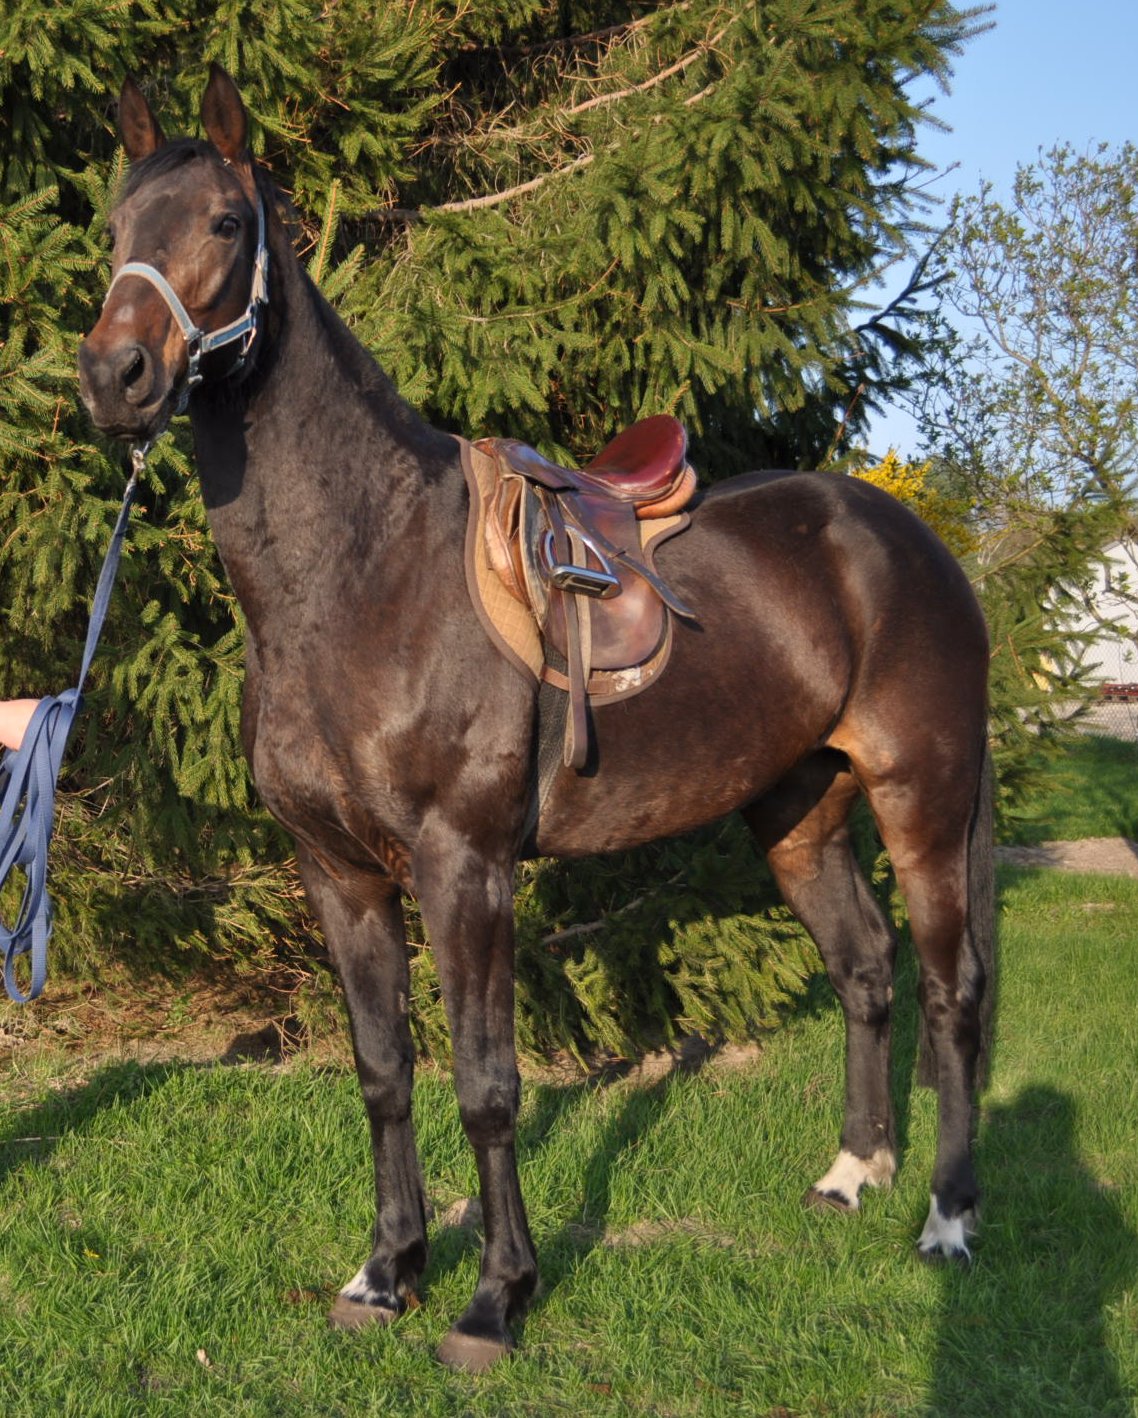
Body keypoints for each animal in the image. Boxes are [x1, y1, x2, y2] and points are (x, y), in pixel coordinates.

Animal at [78, 67, 993, 1372]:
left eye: (222, 222)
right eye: (113, 229)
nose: (115, 378)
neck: (362, 572)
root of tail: (908, 535)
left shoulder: (465, 865)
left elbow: (486, 1081)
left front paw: (492, 1299)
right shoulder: (337, 872)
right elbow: (384, 1070)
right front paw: (386, 1273)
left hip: (923, 797)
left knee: (949, 988)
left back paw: (947, 1220)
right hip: (796, 808)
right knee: (863, 966)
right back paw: (850, 1174)